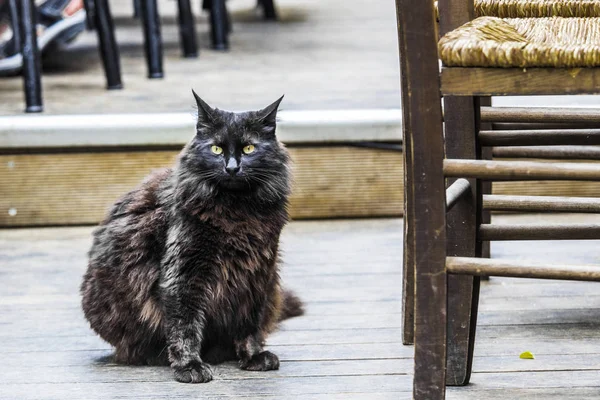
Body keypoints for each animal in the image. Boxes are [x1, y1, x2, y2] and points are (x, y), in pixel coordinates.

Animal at [81, 92, 300, 382]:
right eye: (216, 149)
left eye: (249, 149)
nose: (232, 168)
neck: (236, 211)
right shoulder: (184, 274)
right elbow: (185, 326)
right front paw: (189, 365)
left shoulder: (256, 274)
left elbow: (249, 324)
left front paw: (252, 356)